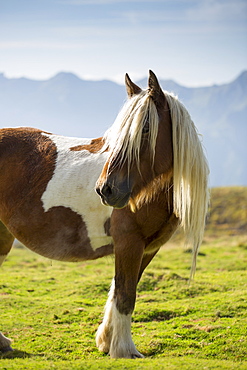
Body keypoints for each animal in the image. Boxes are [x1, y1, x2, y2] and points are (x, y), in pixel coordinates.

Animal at [0, 70, 208, 358]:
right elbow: (125, 295)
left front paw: (107, 341)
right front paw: (124, 349)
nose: (105, 189)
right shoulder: (129, 243)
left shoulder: (147, 248)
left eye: (145, 129)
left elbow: (120, 290)